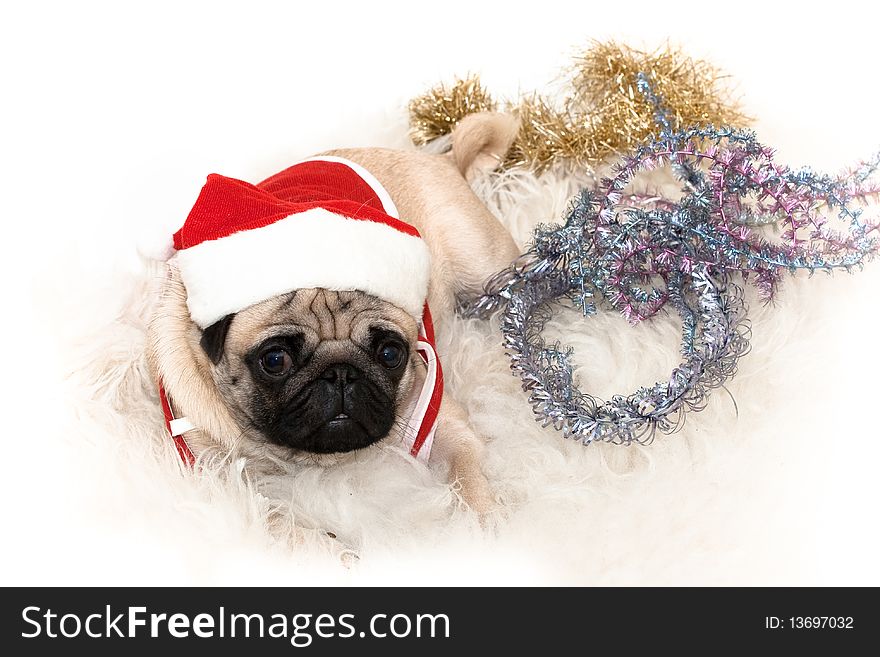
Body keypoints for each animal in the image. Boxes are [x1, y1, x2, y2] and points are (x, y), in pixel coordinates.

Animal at [146, 113, 524, 512]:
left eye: (390, 354)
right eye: (275, 360)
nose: (340, 372)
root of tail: (442, 159)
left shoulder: (444, 423)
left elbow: (469, 476)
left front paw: (484, 519)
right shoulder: (217, 471)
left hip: (483, 265)